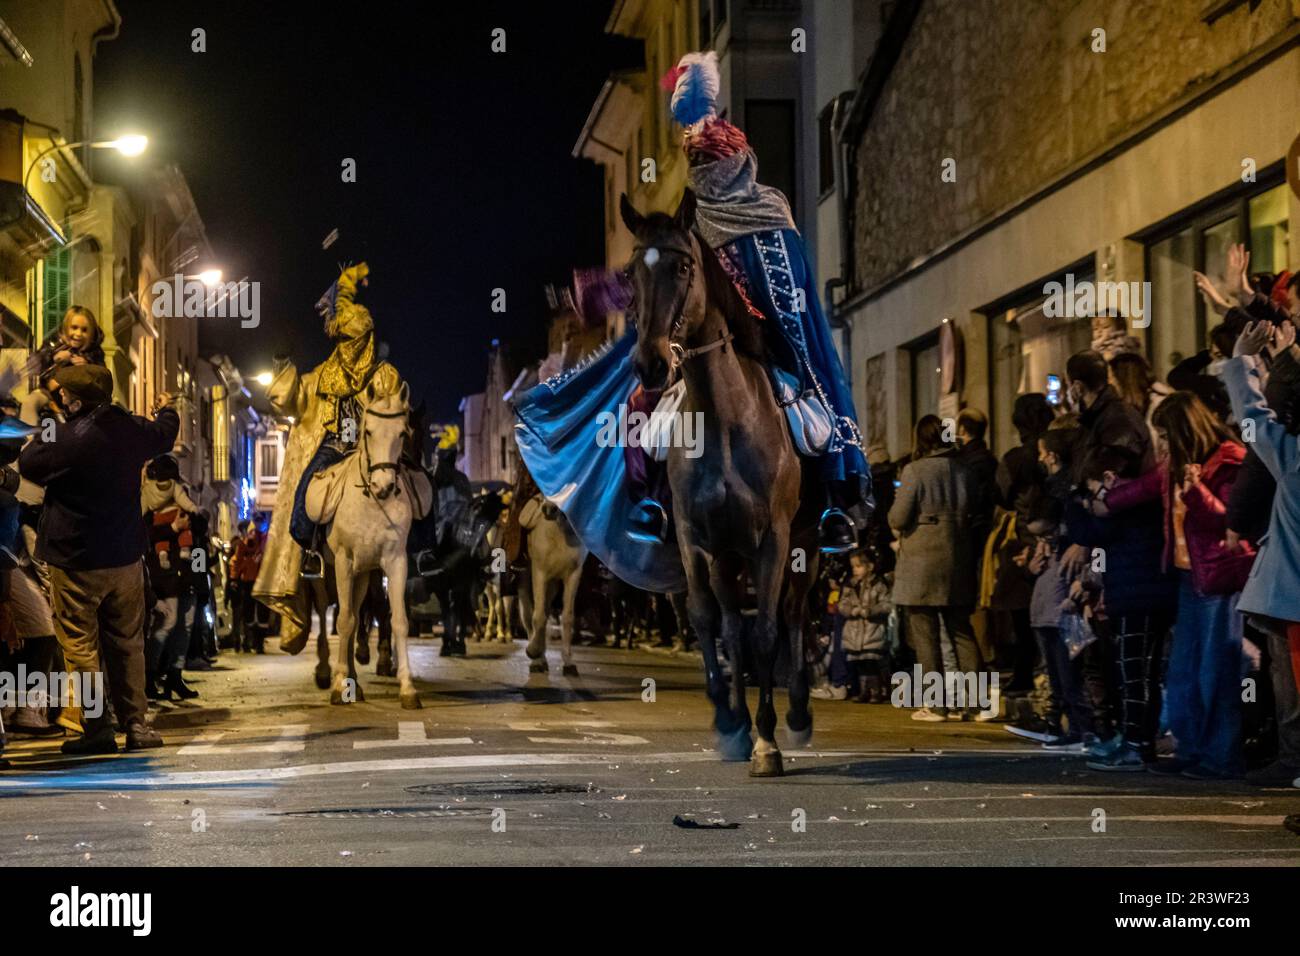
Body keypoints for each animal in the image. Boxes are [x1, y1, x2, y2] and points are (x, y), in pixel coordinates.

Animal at [308, 382, 431, 712]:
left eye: (402, 433)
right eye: (369, 432)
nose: (384, 486)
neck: (371, 502)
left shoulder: (395, 562)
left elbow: (397, 619)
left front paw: (407, 688)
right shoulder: (343, 561)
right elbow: (344, 620)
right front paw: (339, 685)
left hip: (362, 575)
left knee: (355, 613)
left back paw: (354, 680)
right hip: (328, 574)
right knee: (330, 613)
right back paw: (328, 672)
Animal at [621, 192, 821, 780]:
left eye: (684, 266)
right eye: (629, 274)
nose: (650, 363)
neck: (725, 422)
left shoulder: (774, 540)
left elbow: (767, 631)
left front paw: (767, 741)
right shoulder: (698, 539)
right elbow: (709, 620)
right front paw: (730, 721)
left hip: (806, 546)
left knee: (795, 614)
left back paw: (797, 713)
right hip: (728, 555)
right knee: (731, 624)